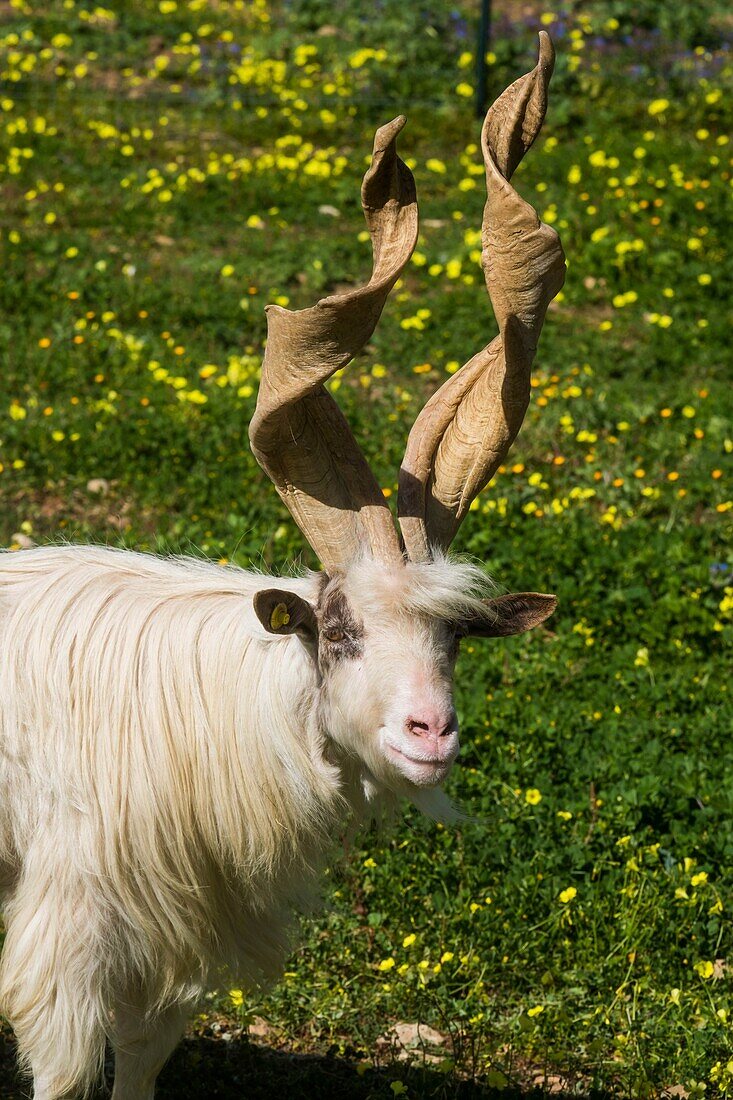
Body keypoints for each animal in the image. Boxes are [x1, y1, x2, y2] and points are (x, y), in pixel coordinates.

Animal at [0, 34, 561, 1100]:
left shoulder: (180, 940)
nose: (431, 732)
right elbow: (64, 1064)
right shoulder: (73, 924)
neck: (195, 700)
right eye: (336, 630)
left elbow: (142, 1053)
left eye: (457, 636)